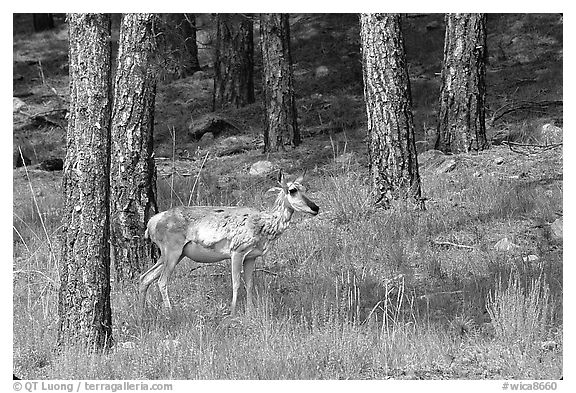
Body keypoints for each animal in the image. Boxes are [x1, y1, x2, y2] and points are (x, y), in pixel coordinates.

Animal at [140, 170, 320, 316]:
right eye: (292, 190)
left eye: (305, 188)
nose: (315, 207)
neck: (264, 225)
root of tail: (151, 224)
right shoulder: (237, 251)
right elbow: (236, 283)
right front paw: (233, 312)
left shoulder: (251, 256)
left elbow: (249, 284)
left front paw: (250, 311)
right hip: (172, 250)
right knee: (161, 281)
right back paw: (170, 312)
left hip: (174, 254)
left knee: (145, 277)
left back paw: (143, 313)